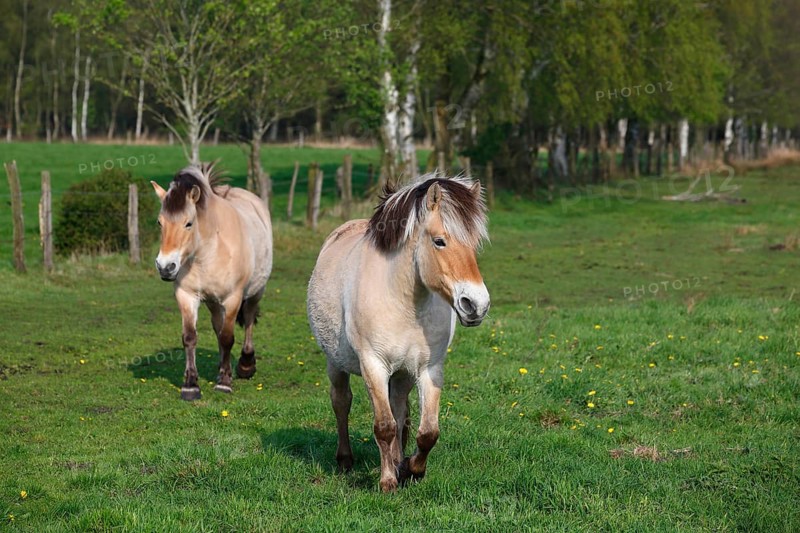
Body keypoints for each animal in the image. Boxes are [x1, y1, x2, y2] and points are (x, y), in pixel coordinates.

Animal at [150, 163, 273, 401]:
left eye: (188, 223)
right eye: (160, 222)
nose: (165, 267)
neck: (207, 252)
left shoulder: (233, 298)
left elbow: (227, 337)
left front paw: (224, 383)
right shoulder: (186, 296)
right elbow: (190, 337)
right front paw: (190, 385)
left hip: (256, 291)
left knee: (249, 319)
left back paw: (246, 365)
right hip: (213, 302)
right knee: (218, 325)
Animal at [307, 174, 490, 492]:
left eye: (475, 243)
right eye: (439, 241)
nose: (476, 305)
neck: (404, 303)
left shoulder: (429, 368)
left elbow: (426, 431)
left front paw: (410, 469)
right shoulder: (373, 365)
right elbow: (384, 426)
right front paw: (388, 481)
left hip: (403, 373)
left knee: (400, 411)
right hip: (336, 363)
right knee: (342, 402)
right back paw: (345, 460)